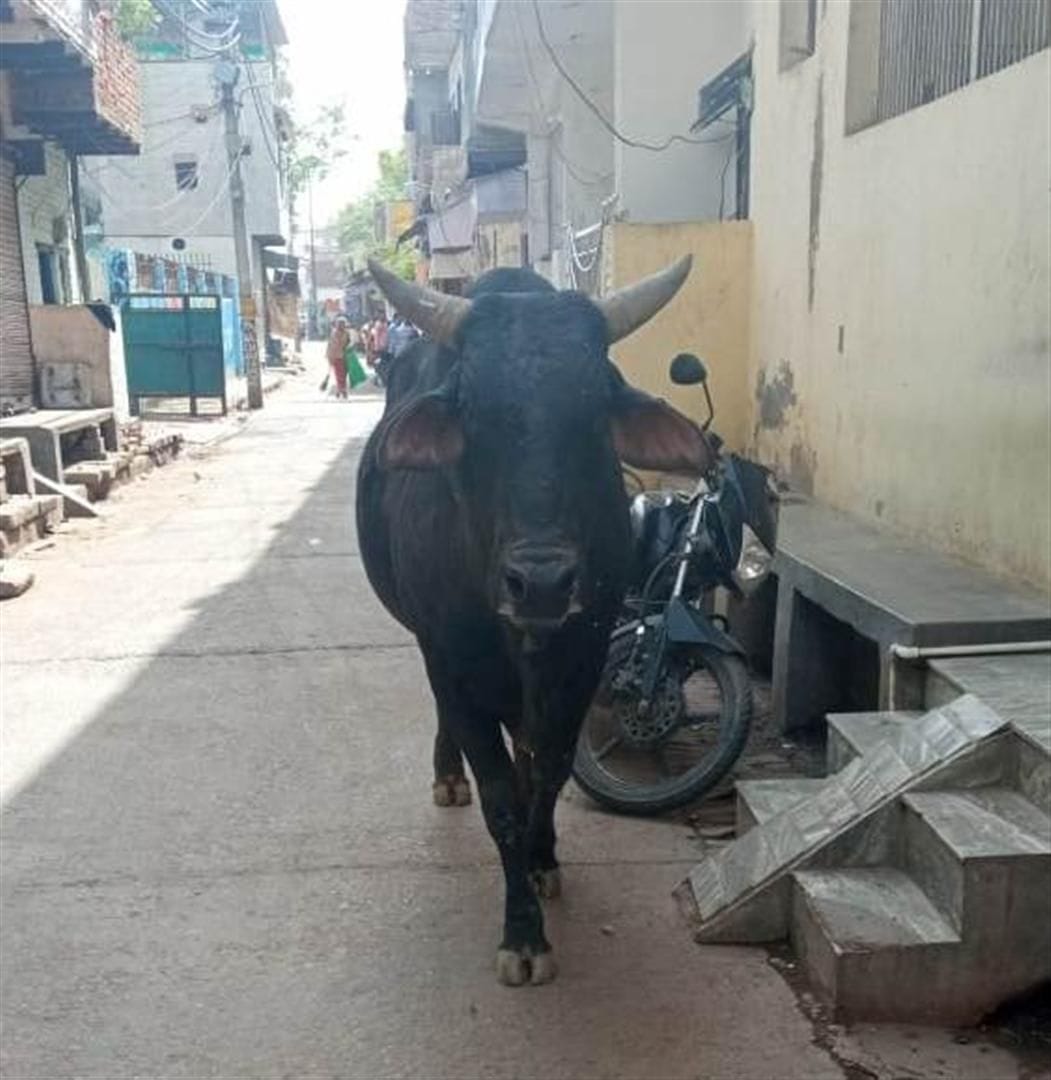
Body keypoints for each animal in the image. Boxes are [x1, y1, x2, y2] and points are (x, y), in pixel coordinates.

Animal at [356, 256, 710, 985]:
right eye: (472, 412)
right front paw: (522, 934)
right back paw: (447, 775)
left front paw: (543, 859)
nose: (541, 582)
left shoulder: (581, 658)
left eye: (595, 410)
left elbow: (548, 769)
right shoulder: (452, 659)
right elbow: (499, 801)